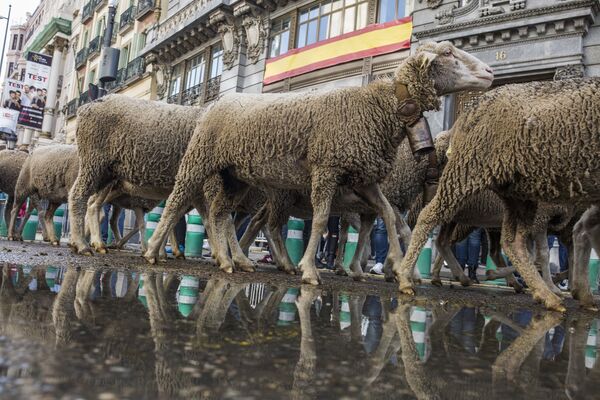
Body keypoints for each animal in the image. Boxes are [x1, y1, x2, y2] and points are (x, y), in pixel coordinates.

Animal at [144, 40, 492, 284]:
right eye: (447, 52)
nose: (489, 73)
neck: (378, 109)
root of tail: (221, 99)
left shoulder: (365, 178)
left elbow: (388, 217)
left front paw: (399, 271)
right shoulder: (327, 169)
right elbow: (323, 219)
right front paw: (310, 270)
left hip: (236, 176)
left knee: (219, 212)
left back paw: (231, 261)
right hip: (200, 158)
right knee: (177, 201)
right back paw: (153, 250)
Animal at [396, 76, 600, 310]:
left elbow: (571, 248)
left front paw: (576, 290)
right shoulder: (543, 220)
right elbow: (544, 253)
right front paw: (561, 286)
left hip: (509, 197)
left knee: (499, 243)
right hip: (464, 179)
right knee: (428, 219)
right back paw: (407, 276)